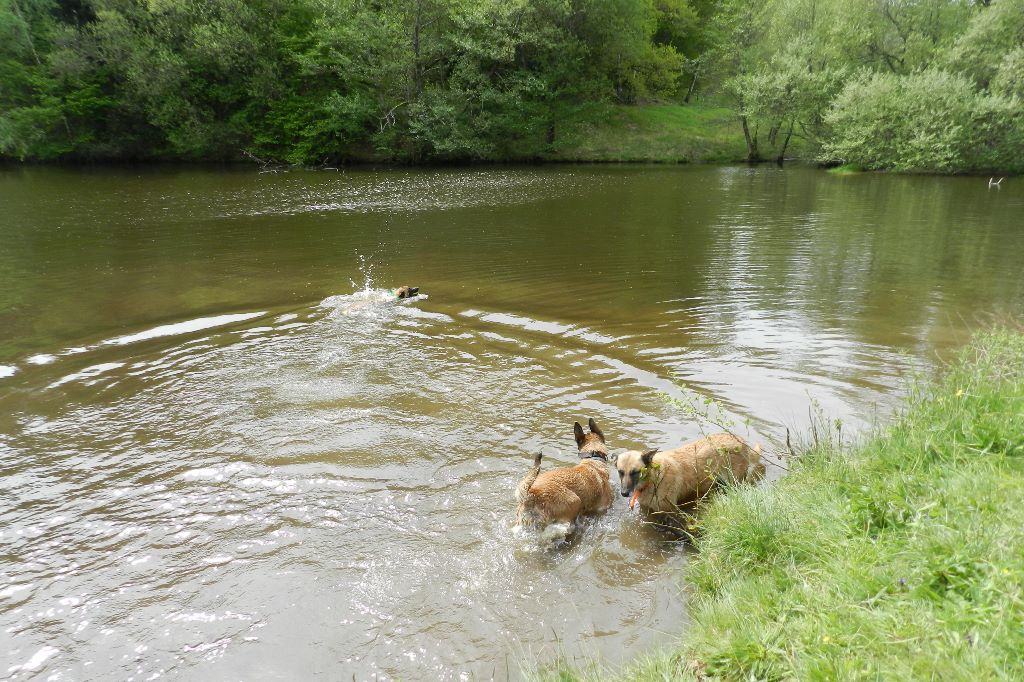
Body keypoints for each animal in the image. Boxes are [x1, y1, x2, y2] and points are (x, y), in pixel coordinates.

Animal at [610, 432, 765, 522]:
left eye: (635, 472)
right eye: (620, 472)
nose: (624, 493)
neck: (654, 478)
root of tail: (740, 441)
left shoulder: (669, 510)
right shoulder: (647, 509)